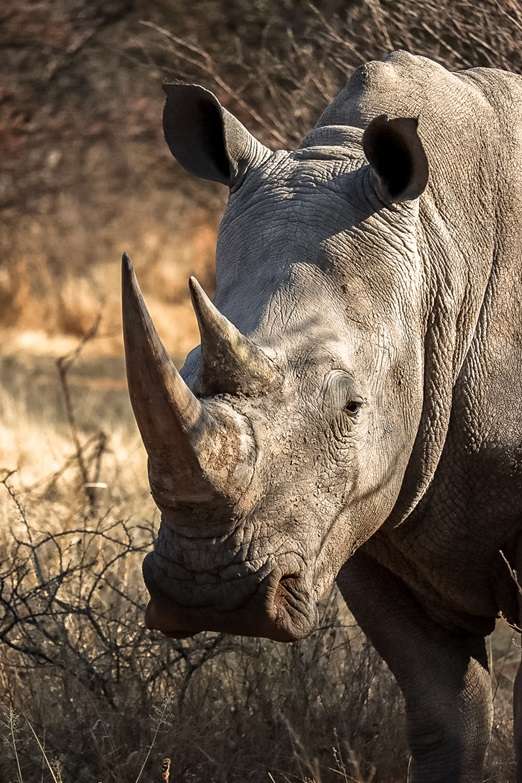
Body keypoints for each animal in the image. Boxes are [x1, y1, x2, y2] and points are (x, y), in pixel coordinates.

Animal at [121, 51, 522, 782]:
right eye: (188, 370)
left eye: (353, 406)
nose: (208, 588)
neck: (439, 248)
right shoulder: (362, 507)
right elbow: (443, 710)